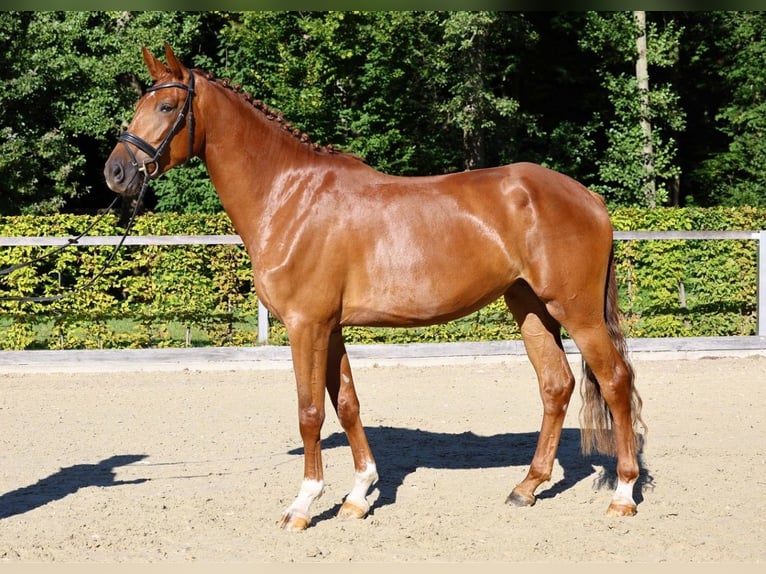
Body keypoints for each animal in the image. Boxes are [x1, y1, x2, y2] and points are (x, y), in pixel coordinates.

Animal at [104, 44, 646, 531]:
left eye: (167, 107)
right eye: (140, 104)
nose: (116, 172)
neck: (290, 196)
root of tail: (588, 197)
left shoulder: (306, 325)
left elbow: (309, 411)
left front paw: (304, 505)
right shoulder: (331, 327)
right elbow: (347, 404)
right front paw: (359, 495)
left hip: (576, 311)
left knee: (615, 380)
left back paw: (622, 493)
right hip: (530, 306)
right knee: (556, 384)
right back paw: (526, 487)